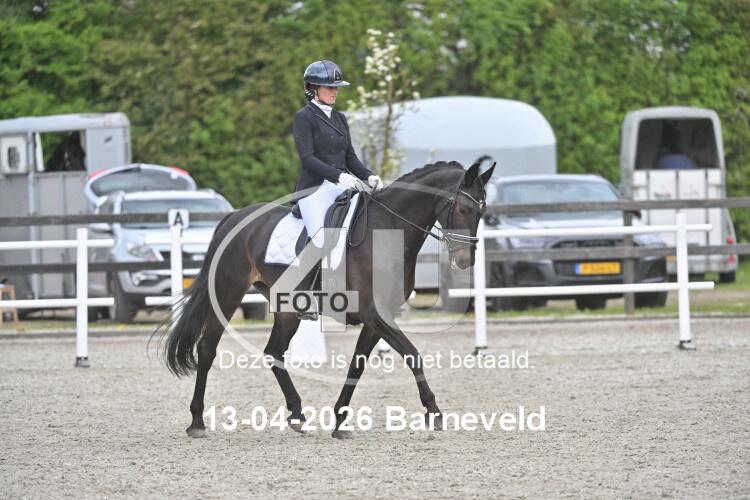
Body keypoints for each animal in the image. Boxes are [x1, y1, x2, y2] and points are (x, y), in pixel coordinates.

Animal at [159, 160, 495, 439]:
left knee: (273, 352)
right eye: (463, 210)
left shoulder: (376, 319)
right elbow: (412, 354)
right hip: (227, 293)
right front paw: (434, 412)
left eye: (481, 212)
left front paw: (340, 421)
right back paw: (197, 422)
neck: (387, 230)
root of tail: (234, 216)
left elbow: (357, 365)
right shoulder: (375, 314)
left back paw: (297, 414)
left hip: (287, 307)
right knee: (207, 348)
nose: (465, 261)